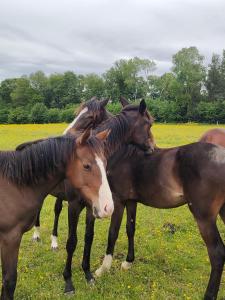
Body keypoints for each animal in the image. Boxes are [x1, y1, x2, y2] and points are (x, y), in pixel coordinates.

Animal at [0, 129, 112, 300]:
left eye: (105, 164)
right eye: (86, 166)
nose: (109, 207)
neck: (13, 185)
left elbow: (88, 237)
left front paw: (88, 275)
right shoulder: (10, 237)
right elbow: (9, 281)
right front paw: (69, 283)